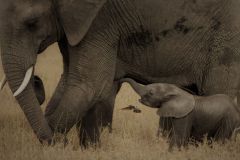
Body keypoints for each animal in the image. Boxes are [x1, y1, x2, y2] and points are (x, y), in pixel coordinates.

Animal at [0, 0, 240, 145]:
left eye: (32, 23)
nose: (36, 80)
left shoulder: (100, 21)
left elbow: (89, 84)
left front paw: (54, 145)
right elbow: (69, 81)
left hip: (227, 39)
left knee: (217, 90)